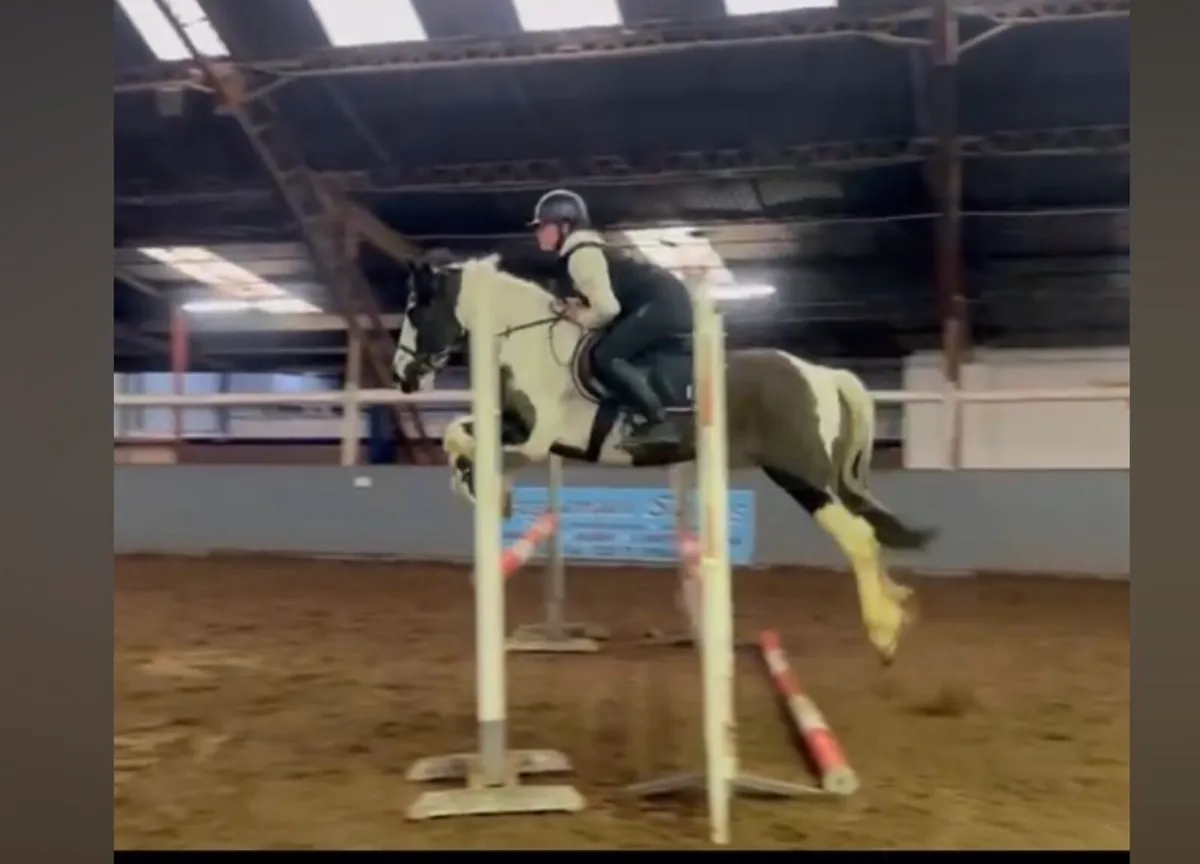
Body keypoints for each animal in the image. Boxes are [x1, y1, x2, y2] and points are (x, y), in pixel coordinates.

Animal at [392, 255, 935, 663]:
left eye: (417, 311)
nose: (402, 377)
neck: (532, 343)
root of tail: (821, 372)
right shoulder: (517, 428)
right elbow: (456, 435)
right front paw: (482, 490)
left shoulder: (537, 438)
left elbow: (475, 444)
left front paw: (490, 491)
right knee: (867, 531)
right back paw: (900, 606)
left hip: (799, 475)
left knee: (858, 536)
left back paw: (885, 632)